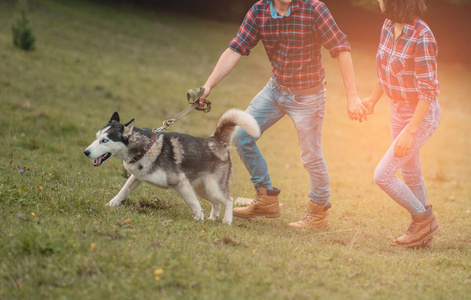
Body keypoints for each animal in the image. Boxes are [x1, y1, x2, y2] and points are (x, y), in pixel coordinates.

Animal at [85, 109, 262, 224]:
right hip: (202, 188)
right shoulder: (136, 177)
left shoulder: (180, 182)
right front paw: (112, 204)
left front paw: (199, 218)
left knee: (229, 200)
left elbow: (193, 203)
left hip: (213, 188)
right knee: (216, 203)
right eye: (96, 137)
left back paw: (227, 221)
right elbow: (123, 191)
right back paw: (213, 219)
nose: (86, 152)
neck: (146, 147)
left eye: (105, 140)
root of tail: (216, 140)